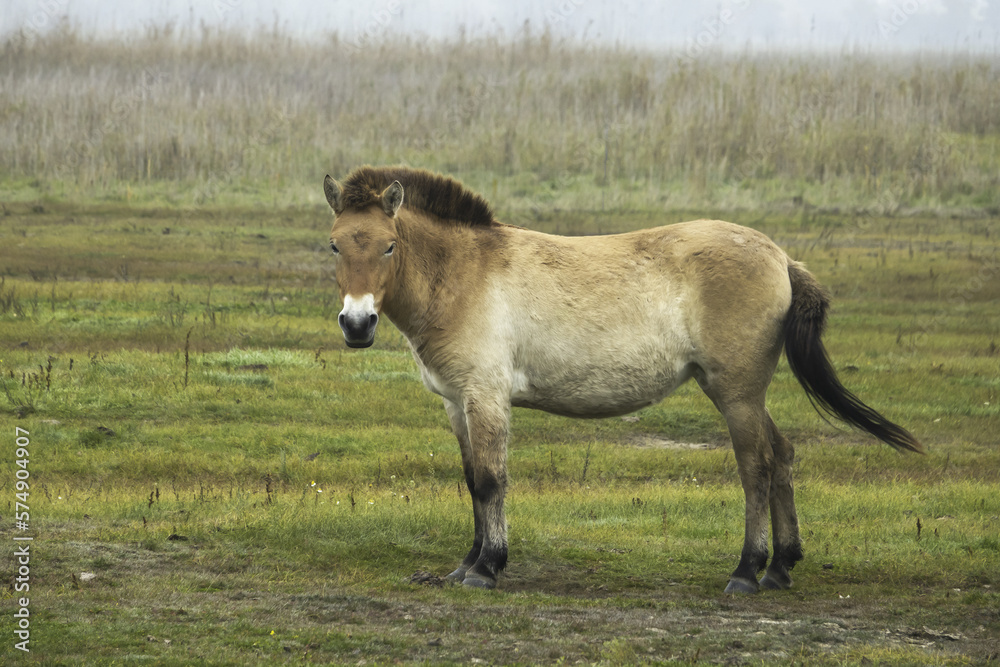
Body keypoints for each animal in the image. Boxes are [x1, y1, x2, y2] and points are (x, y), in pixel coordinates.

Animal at [322, 165, 922, 594]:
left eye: (389, 245)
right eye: (335, 244)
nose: (357, 324)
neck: (463, 274)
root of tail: (781, 258)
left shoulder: (485, 396)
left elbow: (492, 481)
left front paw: (486, 568)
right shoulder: (456, 403)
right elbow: (473, 481)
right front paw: (465, 564)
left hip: (737, 394)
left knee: (757, 466)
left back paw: (746, 572)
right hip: (741, 393)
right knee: (784, 455)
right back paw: (781, 567)